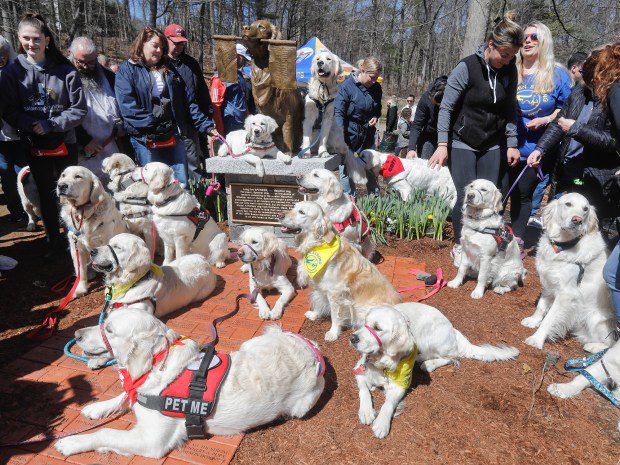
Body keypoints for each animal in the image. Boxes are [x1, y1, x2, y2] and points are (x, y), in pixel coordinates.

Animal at [54, 308, 324, 456]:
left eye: (109, 330)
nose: (76, 334)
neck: (157, 363)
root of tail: (312, 348)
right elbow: (124, 395)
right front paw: (98, 407)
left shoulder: (152, 440)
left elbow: (107, 432)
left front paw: (72, 442)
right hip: (252, 342)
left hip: (301, 406)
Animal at [57, 167, 128, 298]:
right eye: (63, 175)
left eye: (78, 176)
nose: (61, 186)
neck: (84, 213)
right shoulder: (76, 246)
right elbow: (80, 271)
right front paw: (80, 288)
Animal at [278, 200, 400, 340]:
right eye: (294, 207)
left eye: (301, 212)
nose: (279, 215)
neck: (318, 245)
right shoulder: (319, 286)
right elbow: (318, 301)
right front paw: (315, 315)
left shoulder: (335, 293)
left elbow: (335, 316)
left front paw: (333, 333)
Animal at [352, 302, 520, 436]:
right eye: (365, 323)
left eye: (377, 328)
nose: (352, 338)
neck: (382, 362)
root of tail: (452, 328)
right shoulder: (360, 371)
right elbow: (364, 391)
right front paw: (366, 411)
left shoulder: (401, 385)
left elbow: (389, 403)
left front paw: (382, 423)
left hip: (432, 340)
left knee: (452, 357)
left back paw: (428, 363)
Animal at [520, 193, 616, 352]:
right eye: (568, 204)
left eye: (585, 209)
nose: (577, 220)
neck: (563, 246)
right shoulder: (549, 282)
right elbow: (541, 306)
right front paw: (533, 320)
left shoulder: (566, 294)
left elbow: (549, 318)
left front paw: (537, 339)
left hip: (595, 318)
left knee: (611, 343)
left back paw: (593, 346)